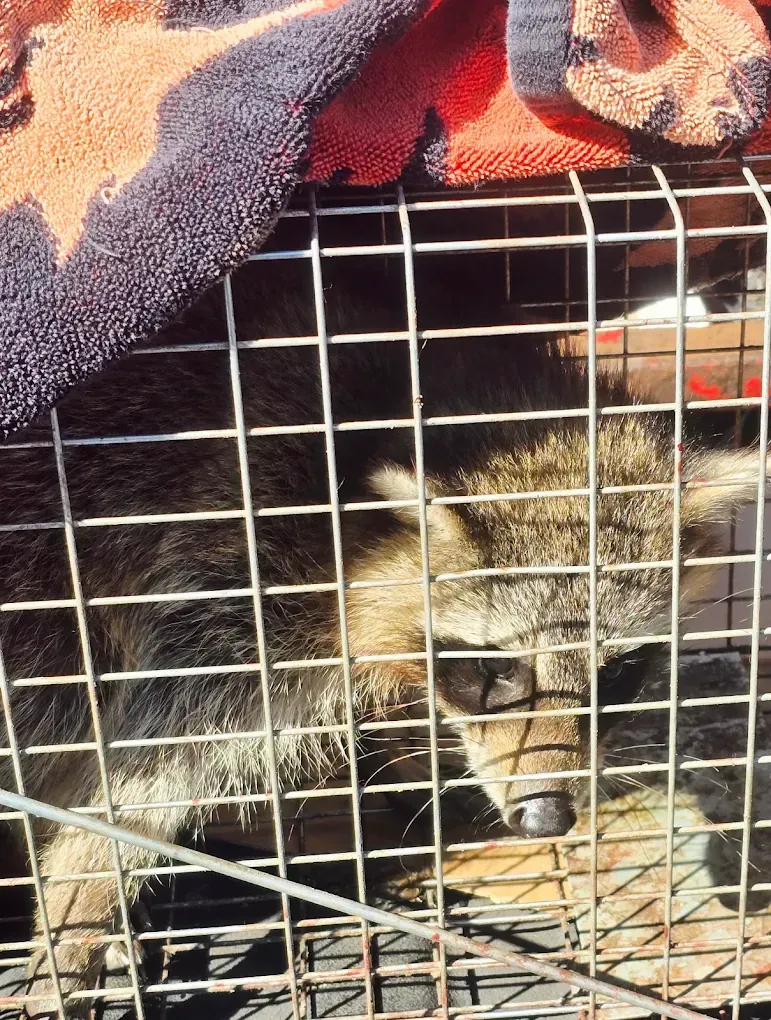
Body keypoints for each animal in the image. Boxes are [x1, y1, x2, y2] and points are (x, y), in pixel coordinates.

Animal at [0, 266, 764, 1015]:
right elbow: (142, 771)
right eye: (495, 669)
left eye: (620, 672)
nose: (547, 816)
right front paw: (78, 908)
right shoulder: (229, 582)